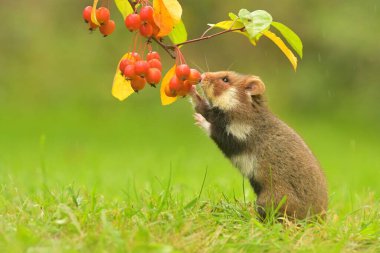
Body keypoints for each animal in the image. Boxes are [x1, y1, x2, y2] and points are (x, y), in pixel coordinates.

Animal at [191, 70, 328, 219]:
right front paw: (192, 91)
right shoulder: (215, 116)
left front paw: (199, 120)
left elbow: (212, 129)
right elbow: (202, 107)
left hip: (269, 200)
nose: (202, 76)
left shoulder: (236, 137)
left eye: (226, 79)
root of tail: (320, 218)